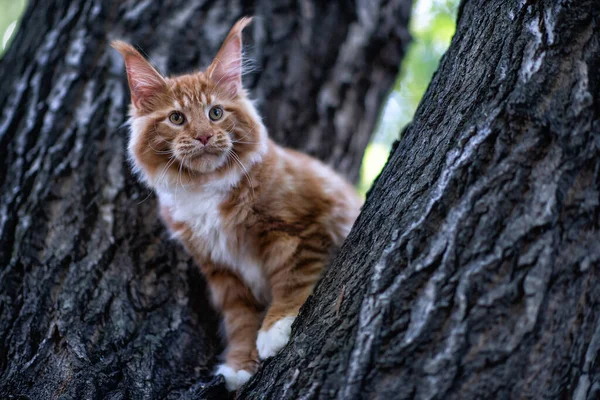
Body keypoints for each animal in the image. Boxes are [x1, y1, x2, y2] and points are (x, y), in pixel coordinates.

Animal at [112, 18, 360, 390]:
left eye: (215, 113)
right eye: (176, 118)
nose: (202, 135)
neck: (204, 191)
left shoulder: (299, 229)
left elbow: (292, 278)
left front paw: (276, 326)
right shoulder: (222, 271)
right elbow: (241, 321)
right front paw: (241, 364)